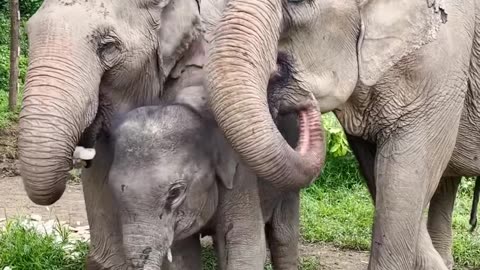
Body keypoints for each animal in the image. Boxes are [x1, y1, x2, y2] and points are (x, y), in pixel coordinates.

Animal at [104, 37, 300, 268]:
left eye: (175, 193)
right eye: (112, 190)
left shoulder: (241, 173)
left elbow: (246, 246)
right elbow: (182, 255)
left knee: (283, 234)